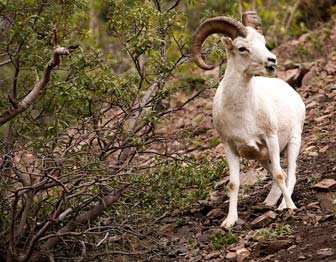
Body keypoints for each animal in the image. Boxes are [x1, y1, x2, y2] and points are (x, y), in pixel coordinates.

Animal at [192, 10, 304, 227]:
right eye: (242, 48)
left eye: (263, 41)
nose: (272, 61)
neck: (242, 114)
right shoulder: (230, 147)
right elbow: (234, 184)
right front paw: (229, 221)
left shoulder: (271, 138)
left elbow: (279, 174)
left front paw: (291, 208)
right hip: (262, 157)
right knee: (280, 174)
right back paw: (269, 203)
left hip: (293, 142)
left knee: (290, 174)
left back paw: (283, 206)